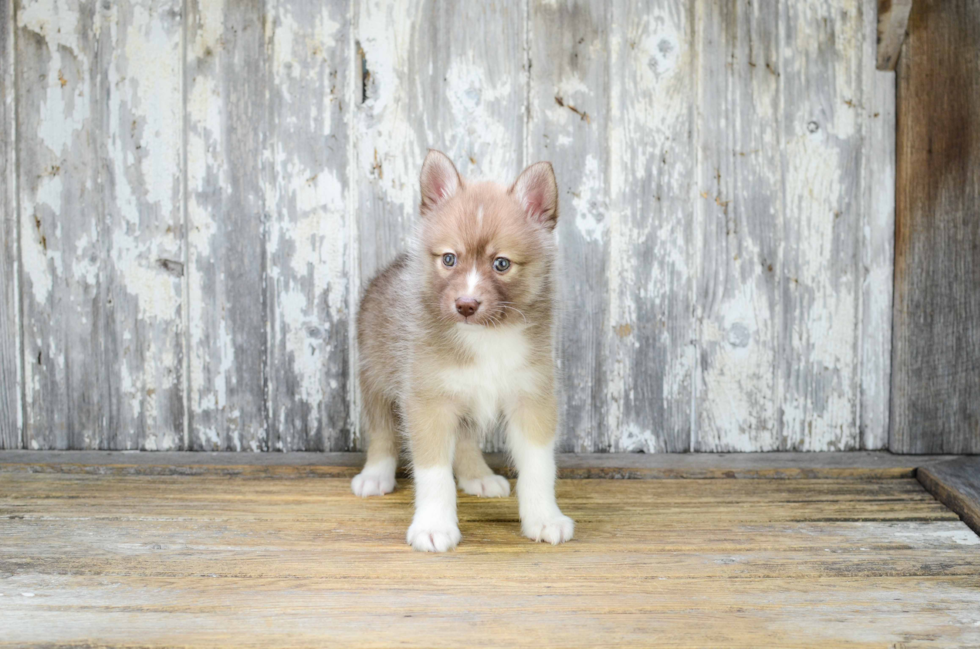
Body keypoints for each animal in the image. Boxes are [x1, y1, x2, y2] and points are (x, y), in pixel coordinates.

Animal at [352, 149, 576, 548]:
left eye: (501, 264)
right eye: (449, 259)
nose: (466, 305)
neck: (487, 336)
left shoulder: (532, 397)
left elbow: (539, 467)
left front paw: (545, 518)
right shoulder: (428, 401)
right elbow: (434, 473)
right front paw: (434, 526)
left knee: (467, 439)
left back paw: (478, 476)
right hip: (375, 378)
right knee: (381, 431)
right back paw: (375, 475)